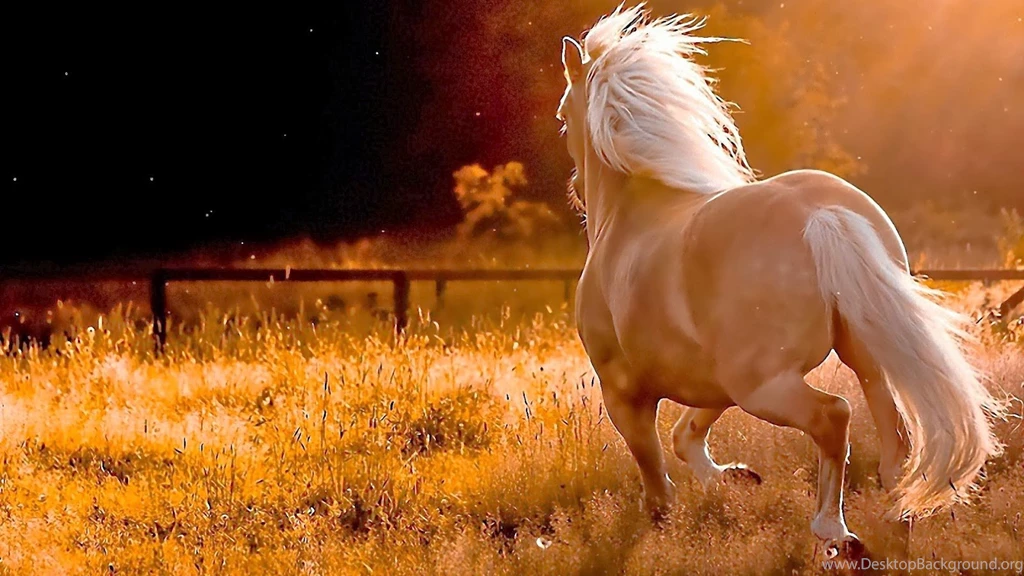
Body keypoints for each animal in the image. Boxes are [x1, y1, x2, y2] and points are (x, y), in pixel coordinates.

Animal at [556, 3, 1005, 555]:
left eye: (563, 118)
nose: (576, 190)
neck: (628, 217)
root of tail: (822, 215)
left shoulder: (625, 393)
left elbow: (657, 481)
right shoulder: (712, 382)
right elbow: (686, 436)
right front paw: (735, 478)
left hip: (765, 387)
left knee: (834, 417)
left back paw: (836, 533)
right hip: (862, 361)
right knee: (895, 444)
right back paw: (895, 522)